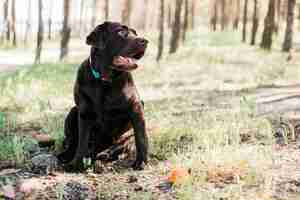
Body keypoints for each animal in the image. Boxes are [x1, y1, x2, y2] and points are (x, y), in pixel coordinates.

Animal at [56, 21, 149, 170]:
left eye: (135, 32)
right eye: (121, 32)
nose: (145, 41)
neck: (105, 81)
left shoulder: (136, 108)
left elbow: (141, 138)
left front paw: (141, 162)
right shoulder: (85, 113)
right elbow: (82, 141)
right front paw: (76, 164)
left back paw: (107, 154)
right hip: (73, 112)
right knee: (72, 142)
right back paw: (67, 155)